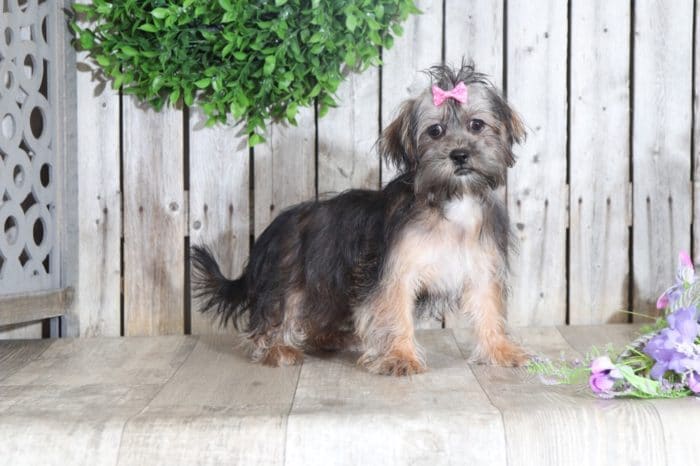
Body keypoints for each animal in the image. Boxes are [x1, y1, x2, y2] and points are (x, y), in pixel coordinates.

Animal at [191, 62, 524, 374]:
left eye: (477, 125)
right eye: (435, 131)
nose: (459, 155)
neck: (450, 199)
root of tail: (268, 232)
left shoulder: (482, 267)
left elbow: (490, 309)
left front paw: (500, 351)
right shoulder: (393, 273)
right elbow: (395, 313)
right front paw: (400, 357)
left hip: (331, 286)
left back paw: (330, 338)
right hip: (289, 279)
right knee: (274, 316)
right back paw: (276, 349)